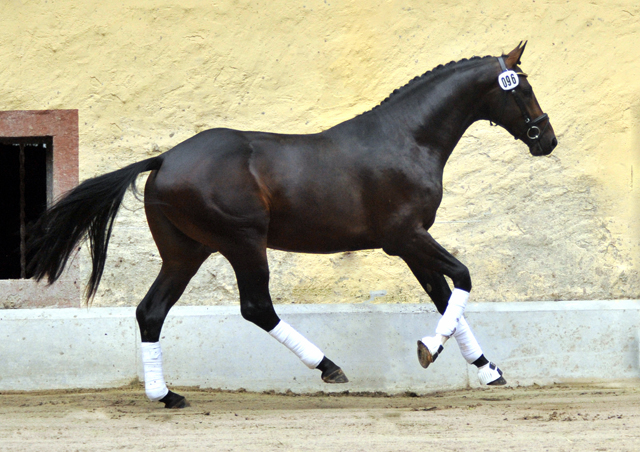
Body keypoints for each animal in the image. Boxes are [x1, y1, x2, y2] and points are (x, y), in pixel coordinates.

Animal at [27, 44, 556, 408]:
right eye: (523, 88)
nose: (546, 139)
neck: (407, 139)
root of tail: (164, 160)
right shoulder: (407, 236)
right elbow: (462, 278)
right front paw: (431, 348)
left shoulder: (408, 245)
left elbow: (446, 296)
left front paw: (486, 369)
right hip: (243, 242)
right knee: (256, 307)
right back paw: (328, 367)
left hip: (186, 252)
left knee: (150, 311)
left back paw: (166, 395)